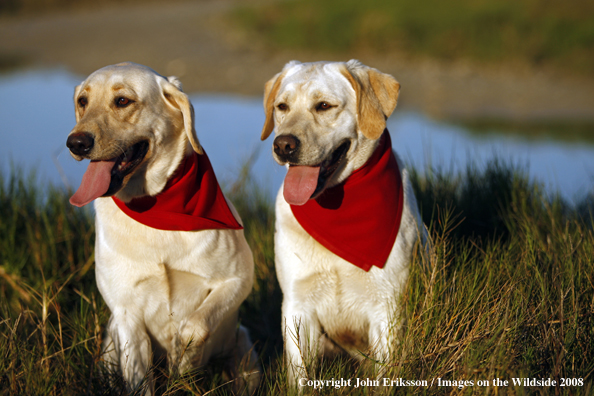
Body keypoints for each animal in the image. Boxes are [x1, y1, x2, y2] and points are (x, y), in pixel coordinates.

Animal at [66, 62, 258, 392]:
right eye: (83, 101)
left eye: (122, 101)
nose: (76, 142)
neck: (154, 205)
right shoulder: (126, 315)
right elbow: (139, 379)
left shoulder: (237, 280)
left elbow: (193, 328)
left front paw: (183, 365)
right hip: (109, 348)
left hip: (245, 354)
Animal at [262, 59, 424, 384]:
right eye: (282, 106)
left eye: (324, 106)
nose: (283, 145)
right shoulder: (298, 305)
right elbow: (300, 377)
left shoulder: (387, 306)